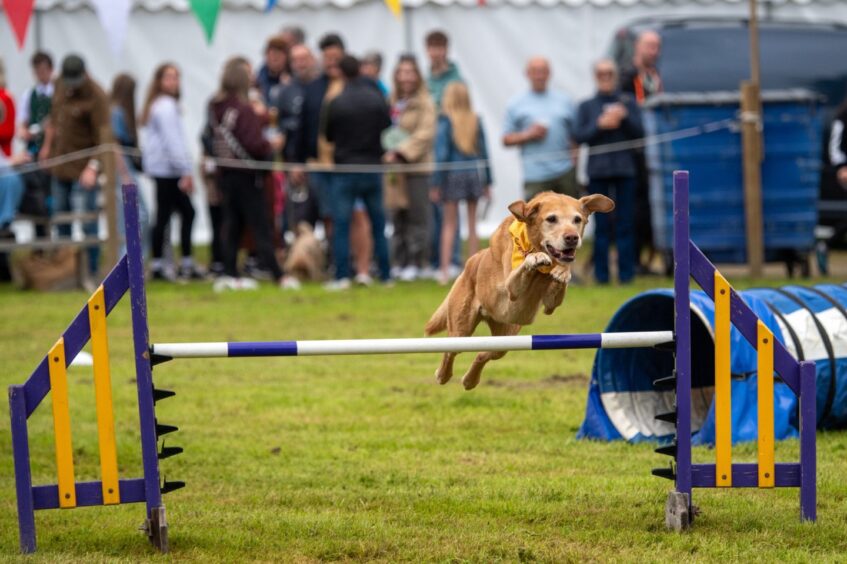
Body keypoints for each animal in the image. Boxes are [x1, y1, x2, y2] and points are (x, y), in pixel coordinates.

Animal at [428, 192, 612, 390]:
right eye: (551, 219)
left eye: (577, 219)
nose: (572, 237)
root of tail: (468, 265)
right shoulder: (512, 288)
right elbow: (526, 265)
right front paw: (535, 258)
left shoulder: (550, 305)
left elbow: (559, 280)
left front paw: (563, 271)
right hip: (460, 330)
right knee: (450, 351)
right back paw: (442, 375)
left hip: (504, 340)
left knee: (482, 354)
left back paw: (470, 380)